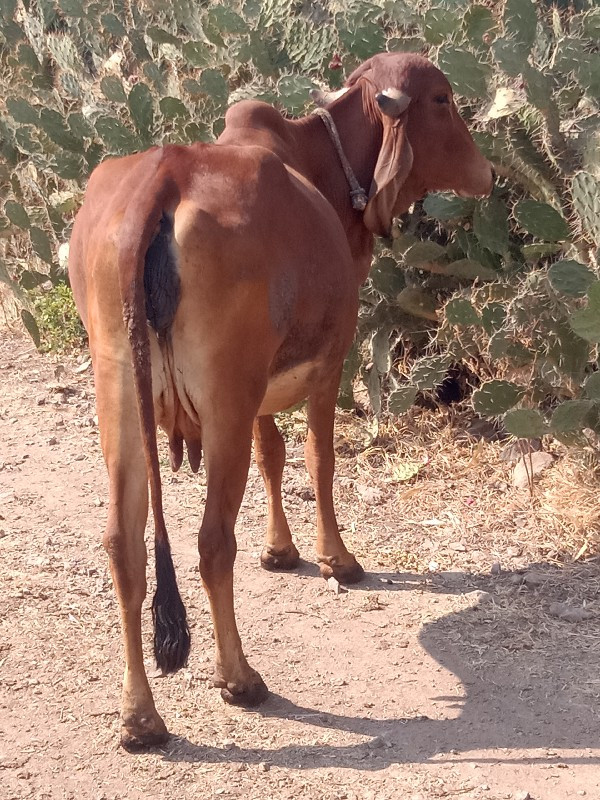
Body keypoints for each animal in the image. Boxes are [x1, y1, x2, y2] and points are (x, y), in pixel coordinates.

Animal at [69, 51, 492, 752]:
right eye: (442, 99)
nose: (485, 170)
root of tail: (162, 178)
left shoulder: (260, 394)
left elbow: (273, 454)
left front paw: (281, 550)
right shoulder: (330, 362)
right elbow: (319, 461)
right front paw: (336, 559)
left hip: (121, 400)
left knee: (124, 548)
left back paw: (140, 717)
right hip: (222, 403)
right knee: (212, 542)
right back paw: (239, 678)